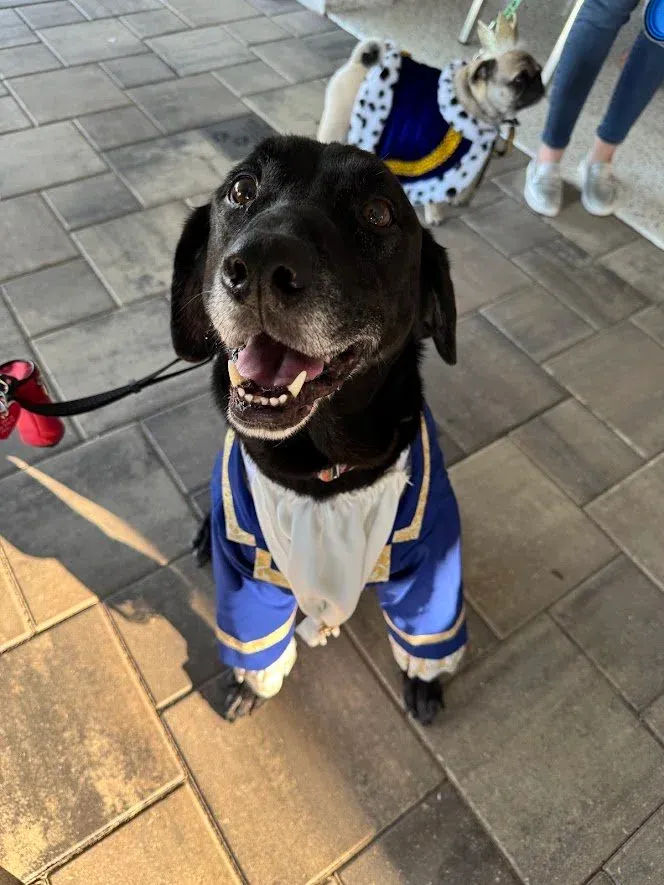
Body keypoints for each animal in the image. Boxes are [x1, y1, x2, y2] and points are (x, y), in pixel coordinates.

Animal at [172, 135, 464, 726]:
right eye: (242, 189)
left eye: (378, 213)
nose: (260, 265)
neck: (323, 469)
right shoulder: (249, 568)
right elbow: (255, 637)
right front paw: (250, 685)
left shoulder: (432, 547)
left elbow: (427, 627)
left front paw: (425, 682)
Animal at [317, 16, 544, 225]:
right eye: (519, 79)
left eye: (540, 72)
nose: (540, 85)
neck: (470, 99)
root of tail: (359, 63)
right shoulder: (435, 159)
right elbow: (433, 190)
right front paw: (434, 213)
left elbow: (469, 180)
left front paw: (460, 198)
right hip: (337, 121)